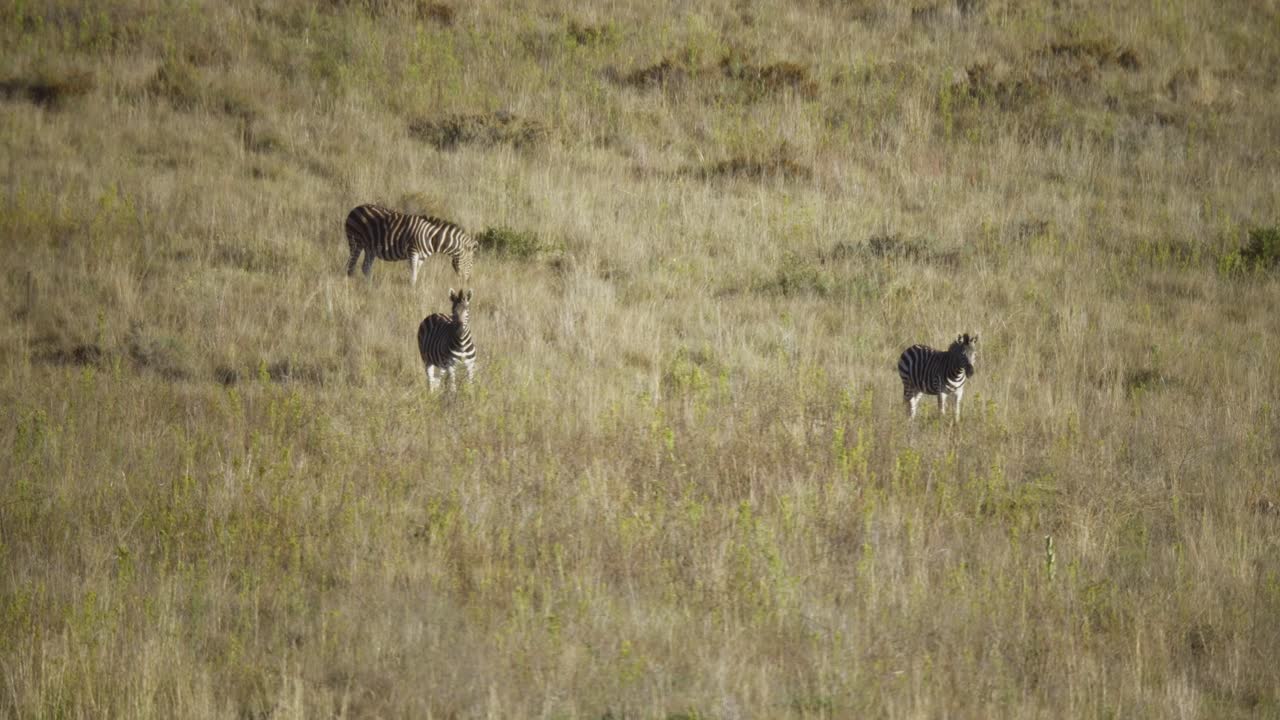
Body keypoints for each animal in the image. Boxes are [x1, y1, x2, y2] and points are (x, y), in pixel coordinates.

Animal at [345, 203, 477, 285]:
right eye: (471, 263)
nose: (467, 282)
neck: (432, 238)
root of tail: (354, 209)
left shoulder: (422, 257)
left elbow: (416, 274)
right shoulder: (413, 252)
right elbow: (413, 276)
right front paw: (412, 293)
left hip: (370, 248)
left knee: (365, 267)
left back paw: (370, 286)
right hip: (356, 241)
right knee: (351, 266)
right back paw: (351, 284)